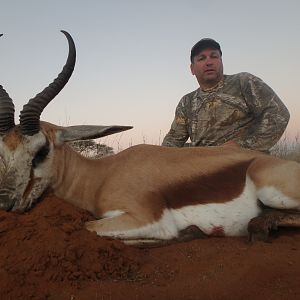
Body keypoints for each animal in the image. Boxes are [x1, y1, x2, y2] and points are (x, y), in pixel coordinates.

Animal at [0, 31, 300, 245]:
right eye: (3, 154)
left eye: (41, 151)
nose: (6, 203)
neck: (100, 176)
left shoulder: (148, 219)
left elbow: (90, 227)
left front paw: (187, 233)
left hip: (271, 191)